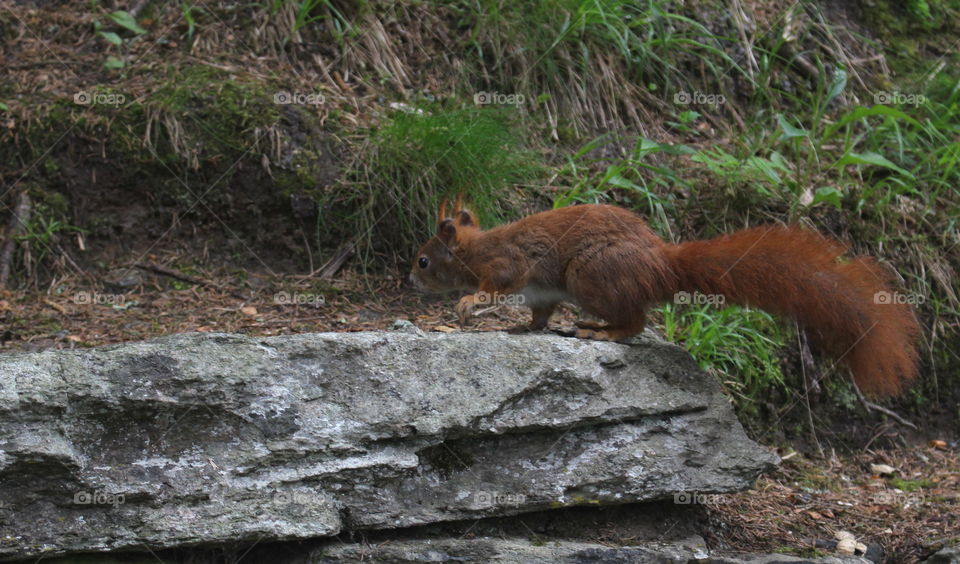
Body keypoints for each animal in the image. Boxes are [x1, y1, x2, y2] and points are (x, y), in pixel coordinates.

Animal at [409, 197, 921, 397]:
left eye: (423, 261)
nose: (411, 281)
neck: (474, 249)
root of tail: (661, 264)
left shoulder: (510, 265)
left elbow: (497, 287)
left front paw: (469, 305)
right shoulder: (542, 293)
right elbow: (538, 314)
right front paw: (521, 327)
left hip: (592, 276)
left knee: (635, 322)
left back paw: (602, 331)